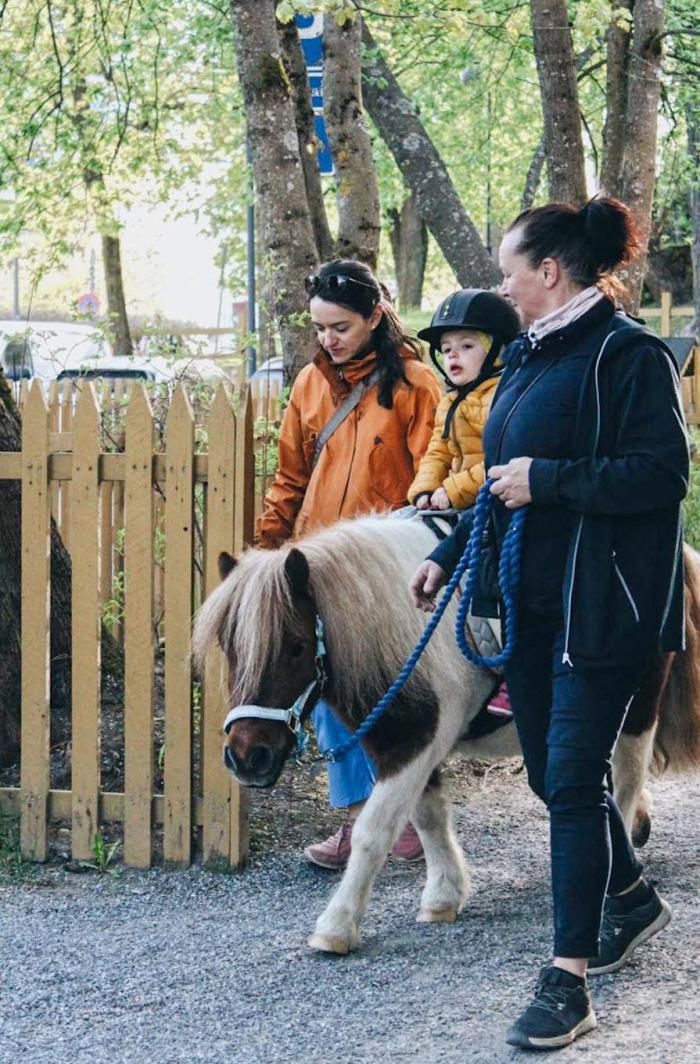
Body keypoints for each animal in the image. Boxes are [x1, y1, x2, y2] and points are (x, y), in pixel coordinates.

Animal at [192, 514, 700, 956]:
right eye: (229, 646)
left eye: (296, 647)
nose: (247, 757)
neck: (399, 626)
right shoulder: (400, 741)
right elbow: (428, 815)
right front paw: (443, 897)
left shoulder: (414, 742)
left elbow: (374, 831)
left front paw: (336, 926)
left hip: (635, 705)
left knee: (627, 778)